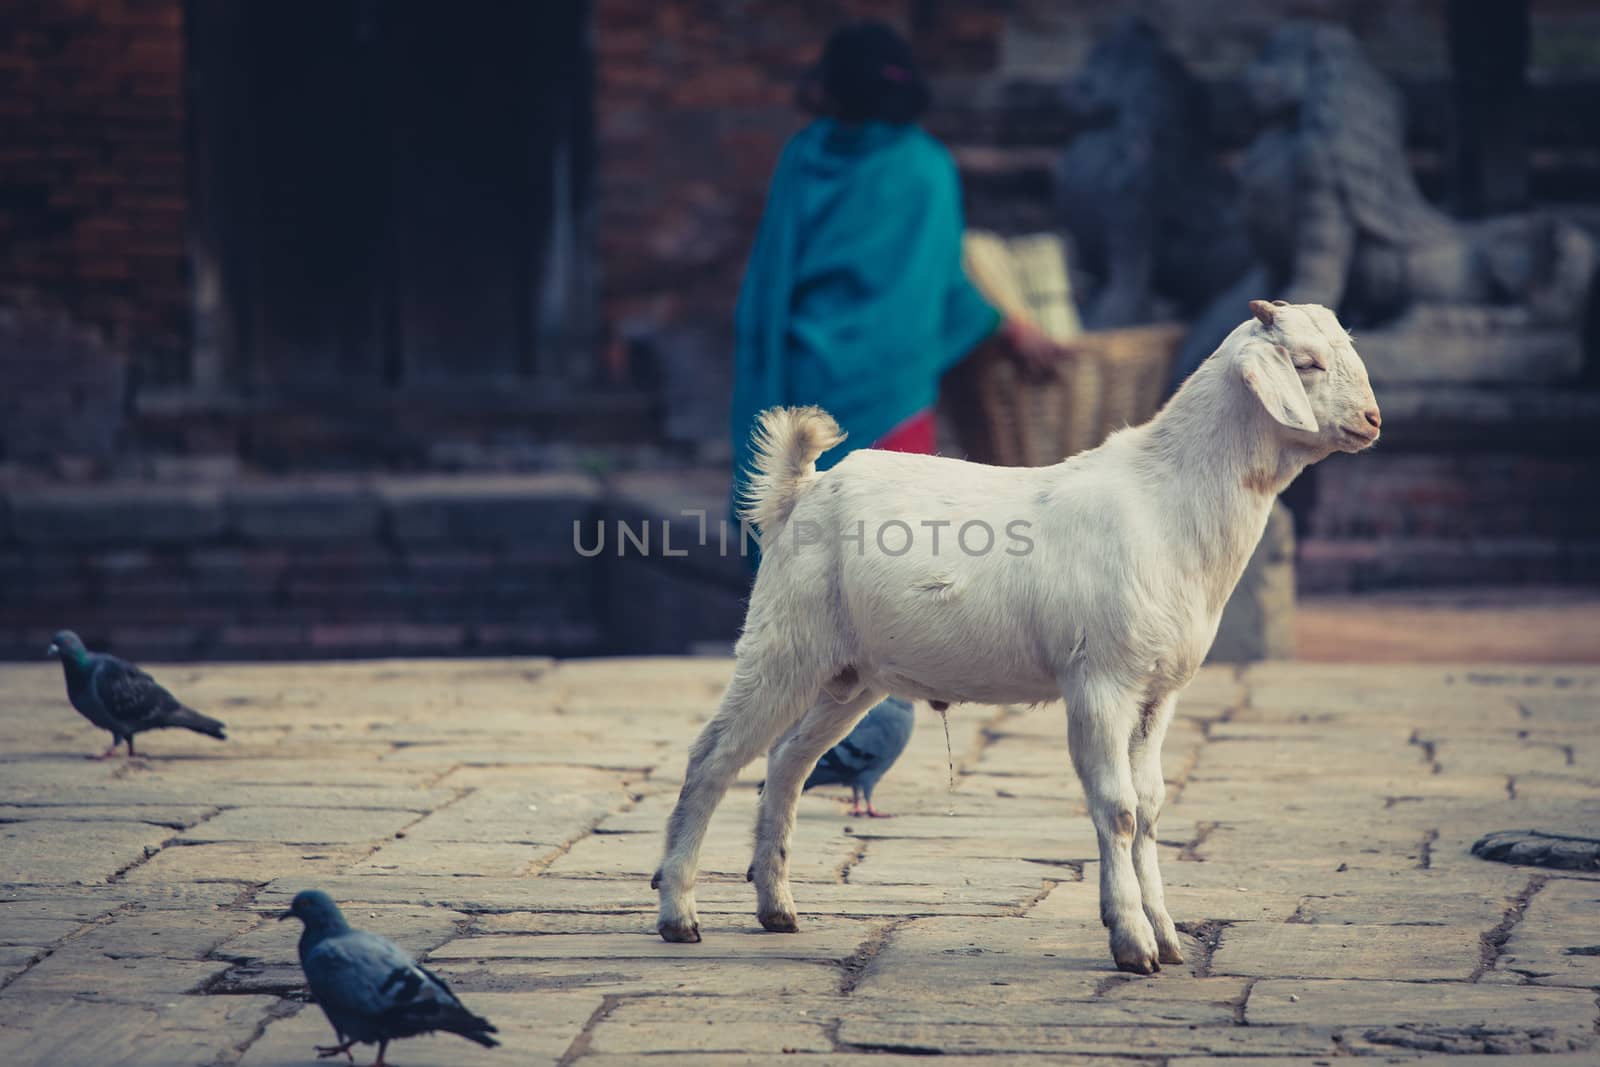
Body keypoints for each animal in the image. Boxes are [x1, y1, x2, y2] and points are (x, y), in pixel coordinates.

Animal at [649, 300, 1376, 979]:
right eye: (1306, 363)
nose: (1372, 421)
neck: (1167, 505)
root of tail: (799, 490)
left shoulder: (1157, 692)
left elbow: (1151, 808)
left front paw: (1167, 938)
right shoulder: (1101, 681)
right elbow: (1118, 808)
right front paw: (1131, 942)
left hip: (850, 674)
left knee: (787, 762)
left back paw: (776, 907)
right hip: (784, 642)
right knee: (713, 756)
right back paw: (679, 912)